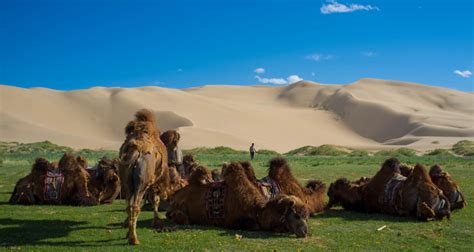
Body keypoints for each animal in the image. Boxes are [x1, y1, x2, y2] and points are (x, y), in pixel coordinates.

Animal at [117, 109, 169, 245]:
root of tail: (136, 151)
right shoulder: (154, 182)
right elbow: (155, 199)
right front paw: (156, 222)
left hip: (126, 182)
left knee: (129, 205)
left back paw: (129, 234)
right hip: (142, 182)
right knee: (135, 205)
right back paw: (134, 239)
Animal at [167, 161, 312, 238]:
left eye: (307, 217)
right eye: (297, 215)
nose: (305, 232)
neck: (257, 210)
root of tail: (175, 196)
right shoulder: (232, 220)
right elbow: (254, 226)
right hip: (179, 210)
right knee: (182, 218)